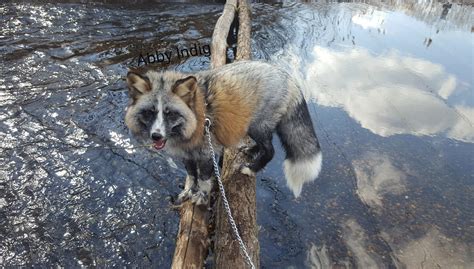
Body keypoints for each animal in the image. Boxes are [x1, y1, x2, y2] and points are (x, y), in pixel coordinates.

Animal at [124, 60, 322, 203]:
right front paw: (188, 192)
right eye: (149, 113)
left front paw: (201, 197)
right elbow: (191, 176)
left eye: (170, 113)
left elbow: (203, 179)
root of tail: (288, 77)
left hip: (257, 127)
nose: (156, 136)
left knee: (270, 150)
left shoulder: (206, 154)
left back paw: (250, 169)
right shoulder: (187, 155)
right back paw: (251, 151)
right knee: (263, 147)